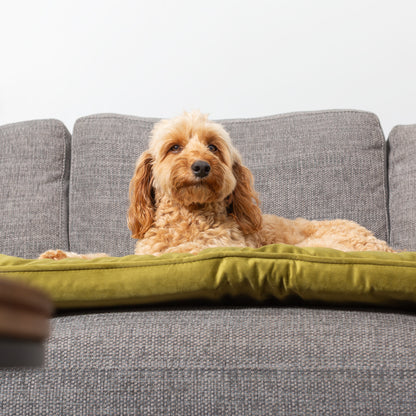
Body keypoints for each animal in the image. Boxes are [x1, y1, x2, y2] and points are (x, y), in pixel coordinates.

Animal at [40, 110, 394, 260]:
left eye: (213, 146)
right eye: (174, 147)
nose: (201, 166)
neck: (189, 218)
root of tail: (384, 245)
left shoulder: (223, 244)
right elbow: (108, 258)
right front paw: (63, 256)